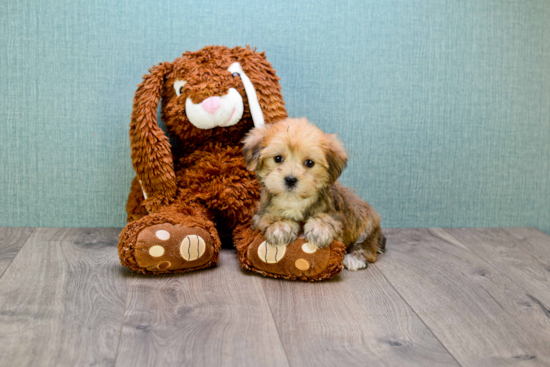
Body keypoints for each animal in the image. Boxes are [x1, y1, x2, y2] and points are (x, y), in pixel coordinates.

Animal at [244, 118, 386, 270]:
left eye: (309, 163)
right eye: (277, 158)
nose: (290, 179)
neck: (294, 200)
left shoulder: (337, 215)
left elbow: (326, 217)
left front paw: (319, 229)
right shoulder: (261, 213)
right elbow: (270, 217)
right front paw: (281, 226)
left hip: (365, 225)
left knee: (368, 248)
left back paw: (356, 258)